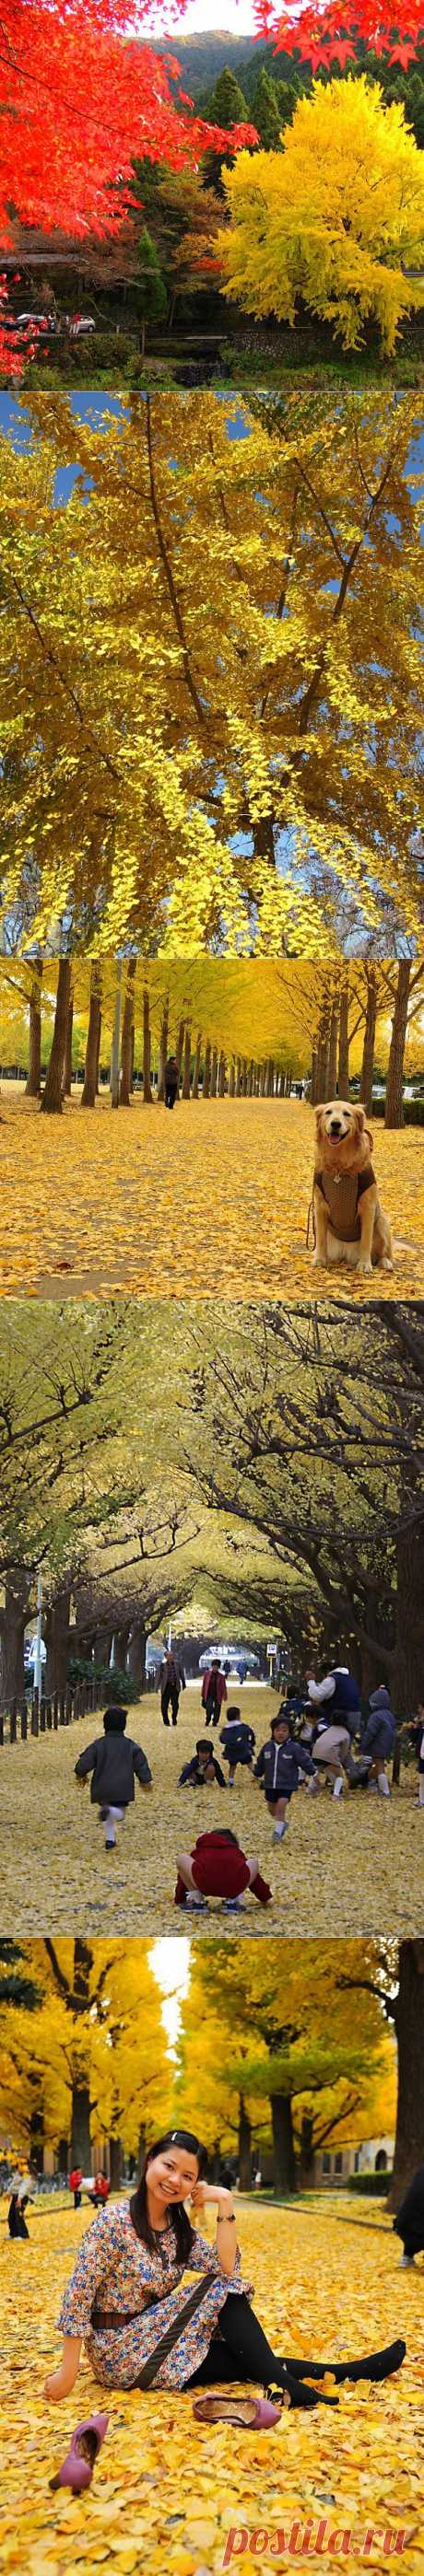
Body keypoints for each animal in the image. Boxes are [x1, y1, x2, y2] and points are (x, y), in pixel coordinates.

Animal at [311, 1097, 393, 1277]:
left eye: (347, 1114)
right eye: (328, 1112)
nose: (335, 1124)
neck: (339, 1166)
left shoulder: (368, 1208)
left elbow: (366, 1241)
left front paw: (365, 1264)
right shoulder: (319, 1207)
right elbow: (320, 1239)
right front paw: (319, 1259)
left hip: (382, 1222)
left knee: (384, 1253)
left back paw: (385, 1262)